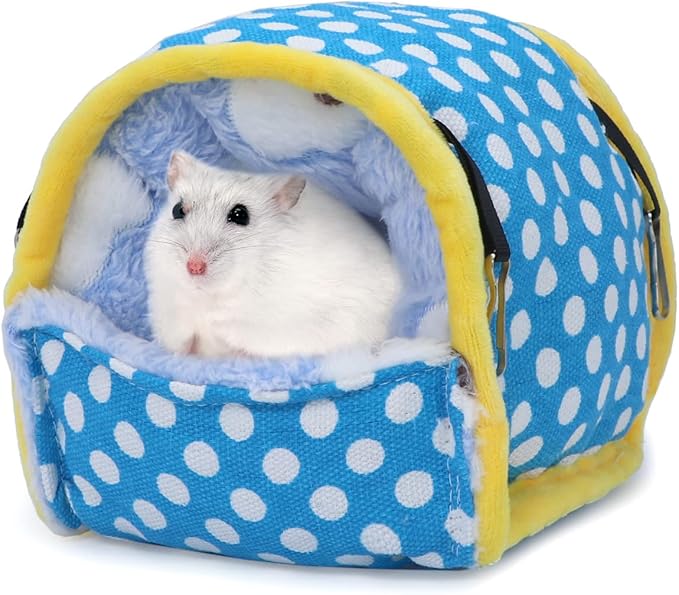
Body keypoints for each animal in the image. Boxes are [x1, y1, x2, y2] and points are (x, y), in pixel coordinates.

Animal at [144, 151, 402, 358]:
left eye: (240, 215)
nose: (194, 267)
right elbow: (179, 336)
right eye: (178, 210)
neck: (210, 295)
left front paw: (219, 326)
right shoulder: (166, 309)